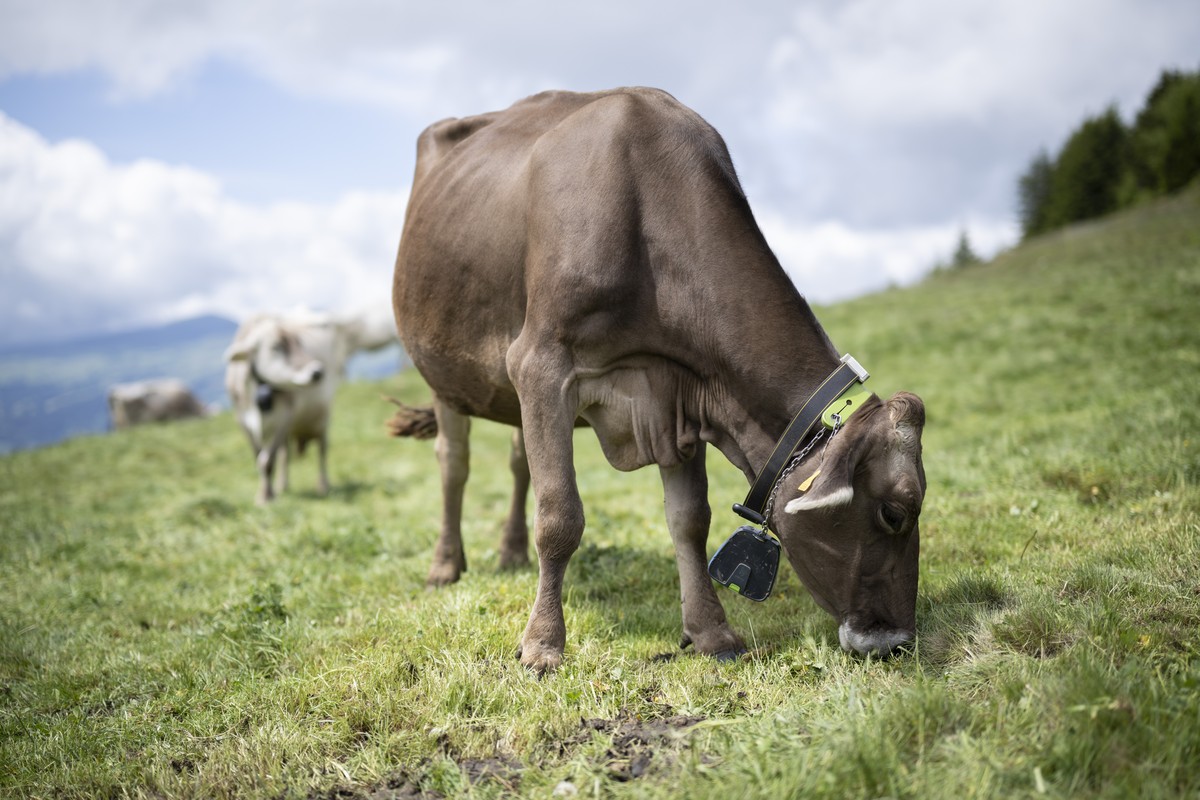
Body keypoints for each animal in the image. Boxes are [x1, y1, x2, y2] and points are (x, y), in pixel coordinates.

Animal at [392, 87, 927, 674]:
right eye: (894, 512)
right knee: (454, 464)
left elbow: (690, 521)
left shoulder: (679, 392)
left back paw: (510, 553)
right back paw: (446, 566)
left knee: (516, 462)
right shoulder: (540, 363)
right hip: (445, 374)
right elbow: (559, 517)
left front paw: (711, 630)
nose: (896, 639)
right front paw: (542, 644)